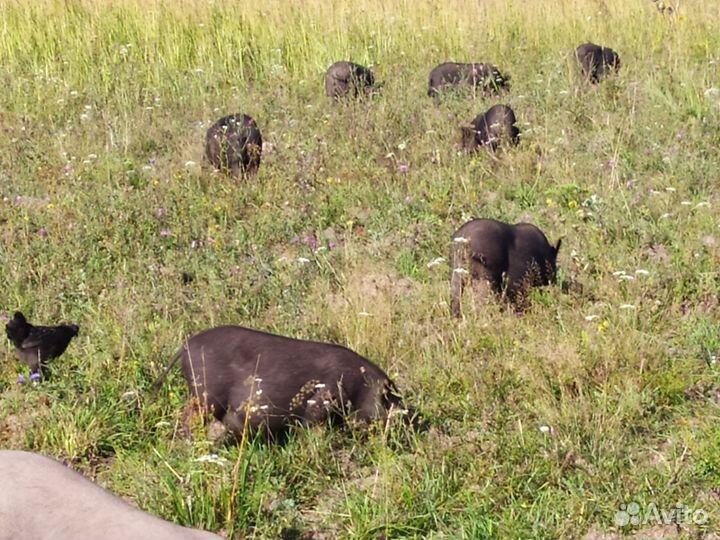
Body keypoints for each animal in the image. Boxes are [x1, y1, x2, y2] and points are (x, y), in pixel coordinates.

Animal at [154, 324, 408, 438]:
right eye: (390, 400)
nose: (407, 420)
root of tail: (186, 346)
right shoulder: (322, 401)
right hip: (205, 393)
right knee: (188, 417)